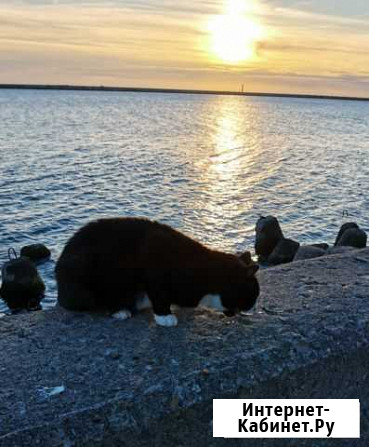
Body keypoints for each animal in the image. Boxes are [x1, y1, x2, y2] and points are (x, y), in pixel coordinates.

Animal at [55, 219, 258, 328]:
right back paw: (120, 310)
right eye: (252, 296)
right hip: (86, 283)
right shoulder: (155, 274)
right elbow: (159, 296)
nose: (252, 308)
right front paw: (165, 316)